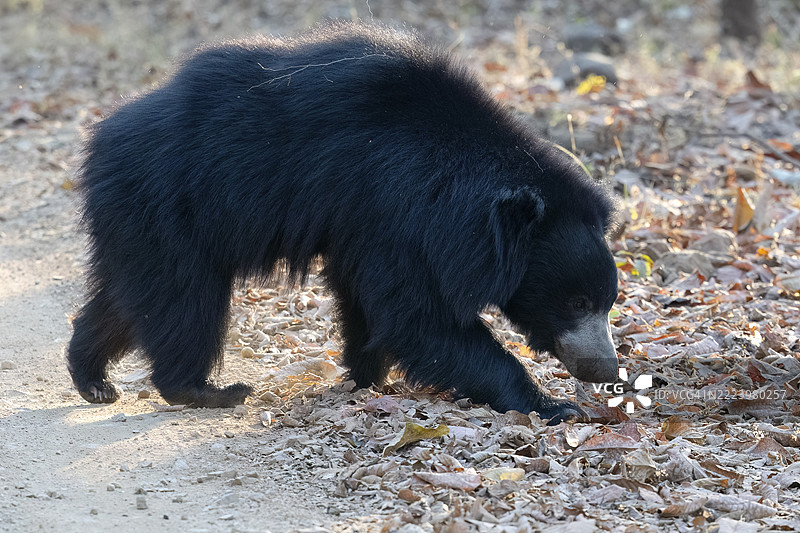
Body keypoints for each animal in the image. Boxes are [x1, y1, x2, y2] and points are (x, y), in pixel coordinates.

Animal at [68, 21, 619, 425]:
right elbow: (415, 315)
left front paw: (364, 378)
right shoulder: (392, 208)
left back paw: (92, 378)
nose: (605, 368)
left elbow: (367, 301)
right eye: (577, 302)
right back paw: (208, 390)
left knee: (128, 297)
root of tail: (101, 138)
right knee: (185, 299)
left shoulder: (370, 225)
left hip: (139, 220)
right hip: (171, 206)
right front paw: (553, 405)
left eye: (607, 302)